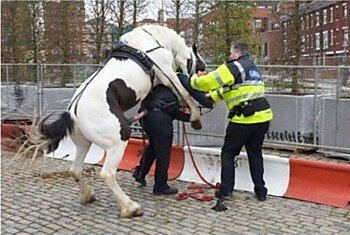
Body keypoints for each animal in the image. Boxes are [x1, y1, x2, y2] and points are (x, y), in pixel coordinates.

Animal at [22, 24, 205, 218]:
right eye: (198, 59)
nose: (203, 69)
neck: (152, 41)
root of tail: (72, 113)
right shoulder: (167, 74)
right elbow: (184, 93)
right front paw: (195, 117)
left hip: (84, 144)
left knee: (75, 170)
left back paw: (88, 195)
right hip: (118, 142)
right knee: (108, 174)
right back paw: (130, 207)